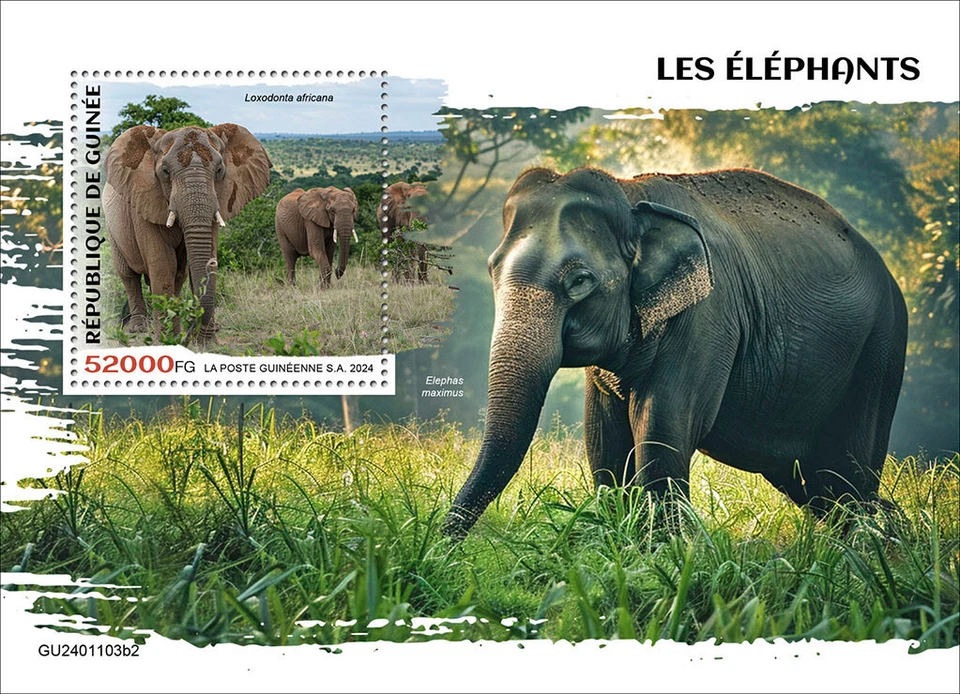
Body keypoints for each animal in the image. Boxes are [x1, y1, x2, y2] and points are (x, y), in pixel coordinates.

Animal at [104, 123, 272, 345]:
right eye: (165, 172)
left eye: (219, 171)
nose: (193, 336)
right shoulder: (145, 203)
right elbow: (162, 264)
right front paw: (166, 342)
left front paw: (205, 342)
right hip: (113, 228)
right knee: (128, 275)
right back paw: (138, 328)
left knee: (179, 274)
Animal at [443, 167, 907, 537]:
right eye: (492, 269)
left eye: (579, 281)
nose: (444, 548)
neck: (630, 195)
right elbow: (603, 434)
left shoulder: (709, 315)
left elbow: (661, 423)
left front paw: (667, 552)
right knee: (817, 486)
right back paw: (890, 532)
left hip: (881, 350)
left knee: (849, 476)